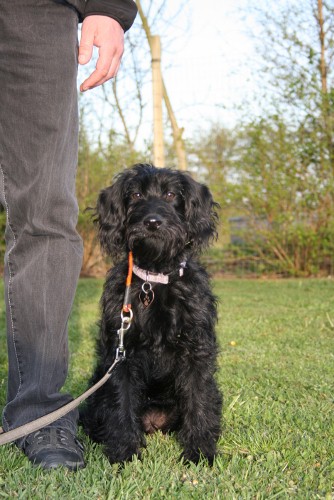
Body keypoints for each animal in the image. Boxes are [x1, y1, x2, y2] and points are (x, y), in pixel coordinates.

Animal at [80, 164, 222, 464]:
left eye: (170, 194)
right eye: (135, 194)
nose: (153, 222)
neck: (154, 279)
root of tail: (154, 421)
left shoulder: (196, 349)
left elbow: (199, 399)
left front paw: (199, 452)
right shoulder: (121, 351)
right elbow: (121, 402)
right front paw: (124, 453)